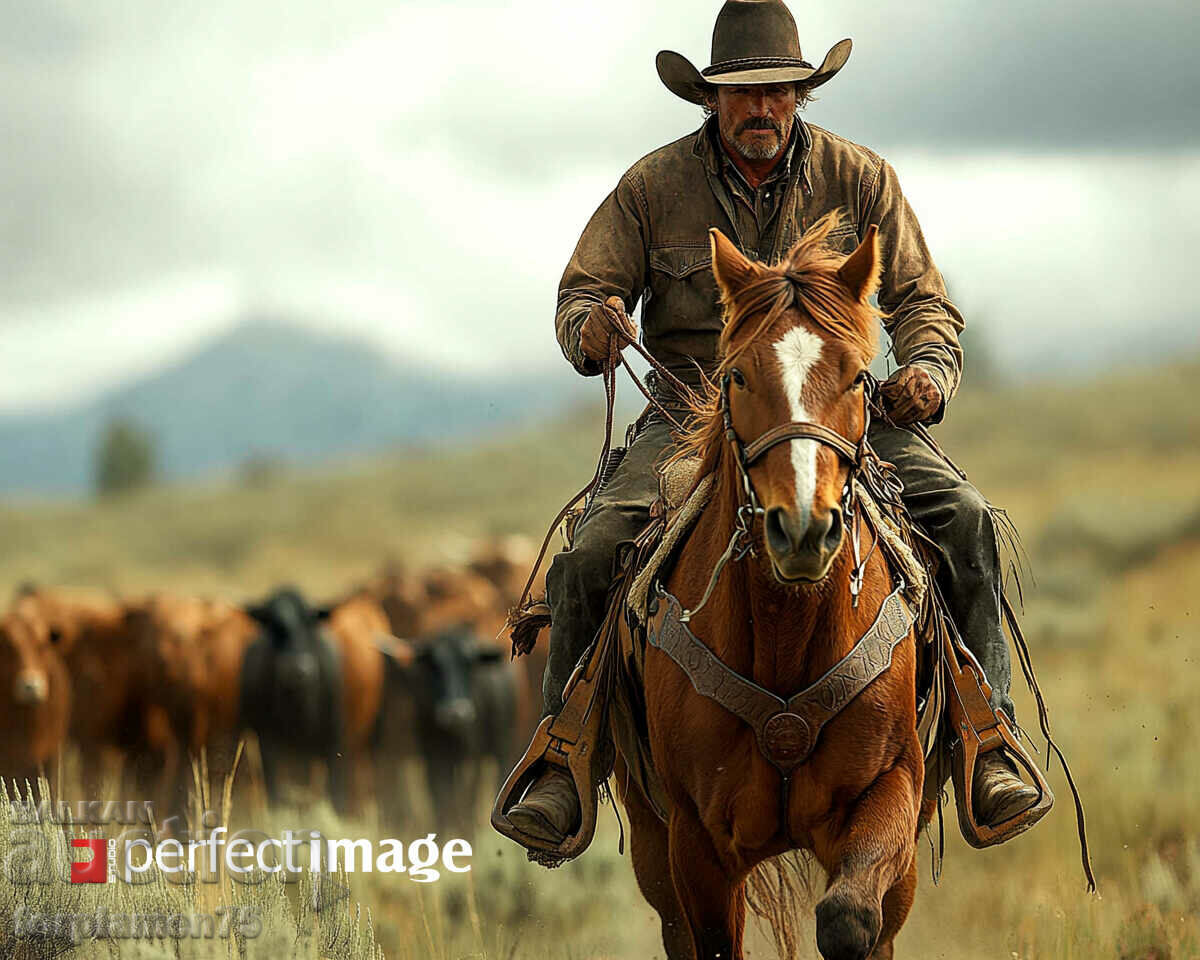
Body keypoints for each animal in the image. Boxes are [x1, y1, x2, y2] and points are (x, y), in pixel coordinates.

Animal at [614, 217, 921, 960]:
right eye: (738, 375)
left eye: (860, 377)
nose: (803, 528)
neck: (787, 630)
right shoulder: (695, 843)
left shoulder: (892, 790)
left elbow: (851, 920)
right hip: (651, 843)